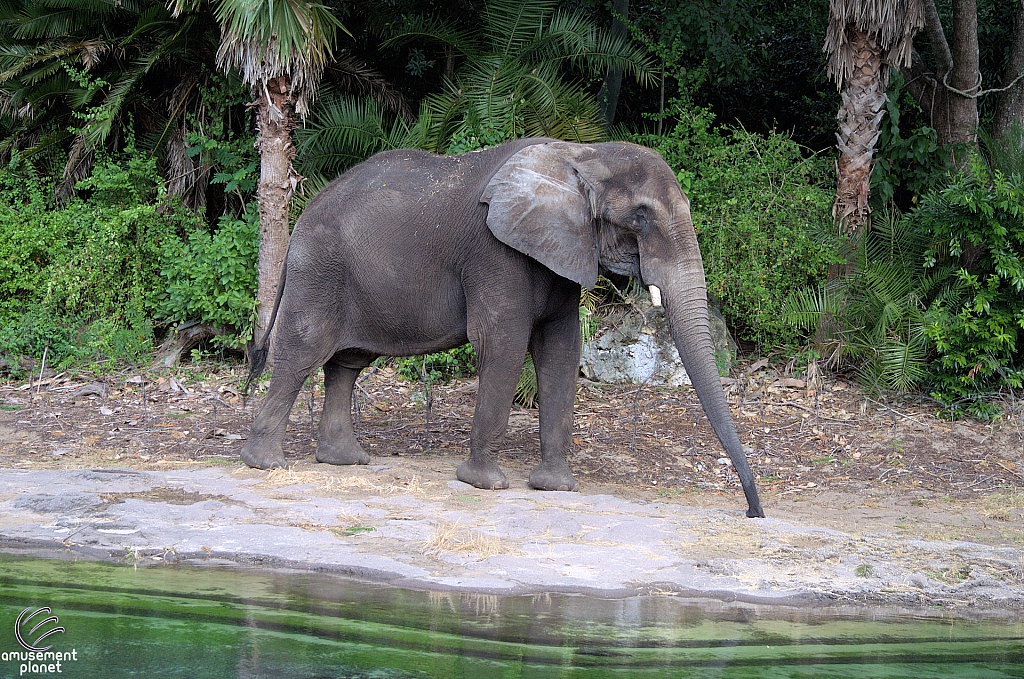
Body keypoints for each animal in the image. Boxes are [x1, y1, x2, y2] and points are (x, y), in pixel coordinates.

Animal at [241, 138, 770, 520]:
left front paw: (557, 487)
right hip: (319, 269)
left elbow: (561, 350)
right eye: (640, 218)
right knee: (302, 354)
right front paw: (487, 484)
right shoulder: (496, 252)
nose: (753, 512)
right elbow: (504, 343)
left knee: (346, 363)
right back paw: (266, 463)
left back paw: (346, 459)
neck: (582, 155)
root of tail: (301, 217)